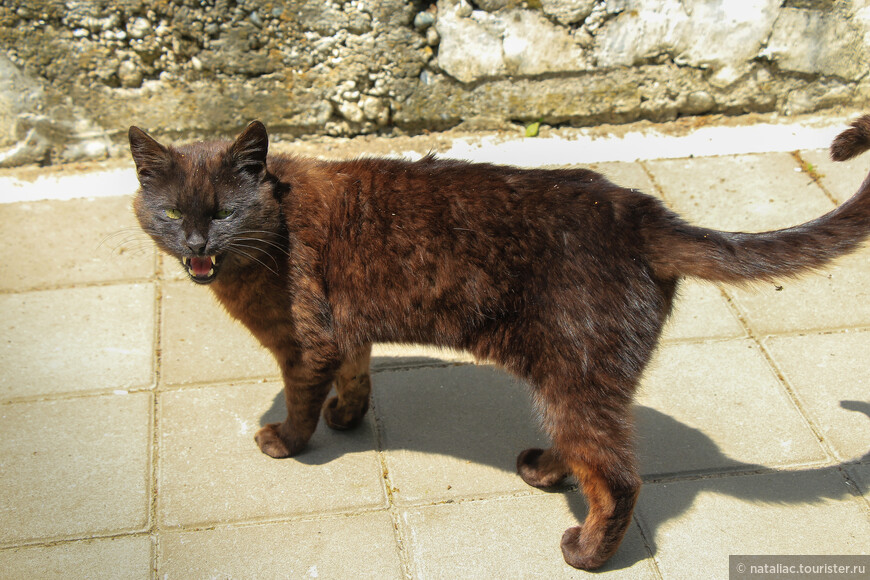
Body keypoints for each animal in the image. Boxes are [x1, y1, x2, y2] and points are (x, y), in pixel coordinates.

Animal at [127, 115, 870, 568]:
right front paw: (348, 417)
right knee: (592, 451)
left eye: (224, 211)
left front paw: (287, 440)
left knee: (618, 478)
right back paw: (543, 468)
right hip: (582, 383)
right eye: (171, 211)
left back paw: (584, 552)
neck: (274, 223)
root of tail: (645, 213)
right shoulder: (349, 331)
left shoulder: (303, 343)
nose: (194, 245)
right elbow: (358, 373)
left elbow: (302, 398)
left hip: (574, 377)